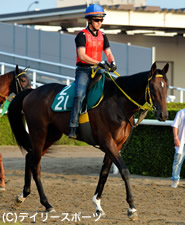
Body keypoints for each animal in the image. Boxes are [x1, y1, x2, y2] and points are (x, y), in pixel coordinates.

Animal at [7, 62, 169, 221]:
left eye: (166, 86)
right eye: (152, 87)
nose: (164, 115)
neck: (117, 104)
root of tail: (31, 92)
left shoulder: (116, 145)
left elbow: (104, 173)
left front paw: (98, 205)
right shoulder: (107, 142)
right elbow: (124, 171)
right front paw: (132, 208)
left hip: (52, 135)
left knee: (30, 157)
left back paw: (22, 195)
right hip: (39, 133)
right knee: (35, 165)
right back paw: (47, 203)